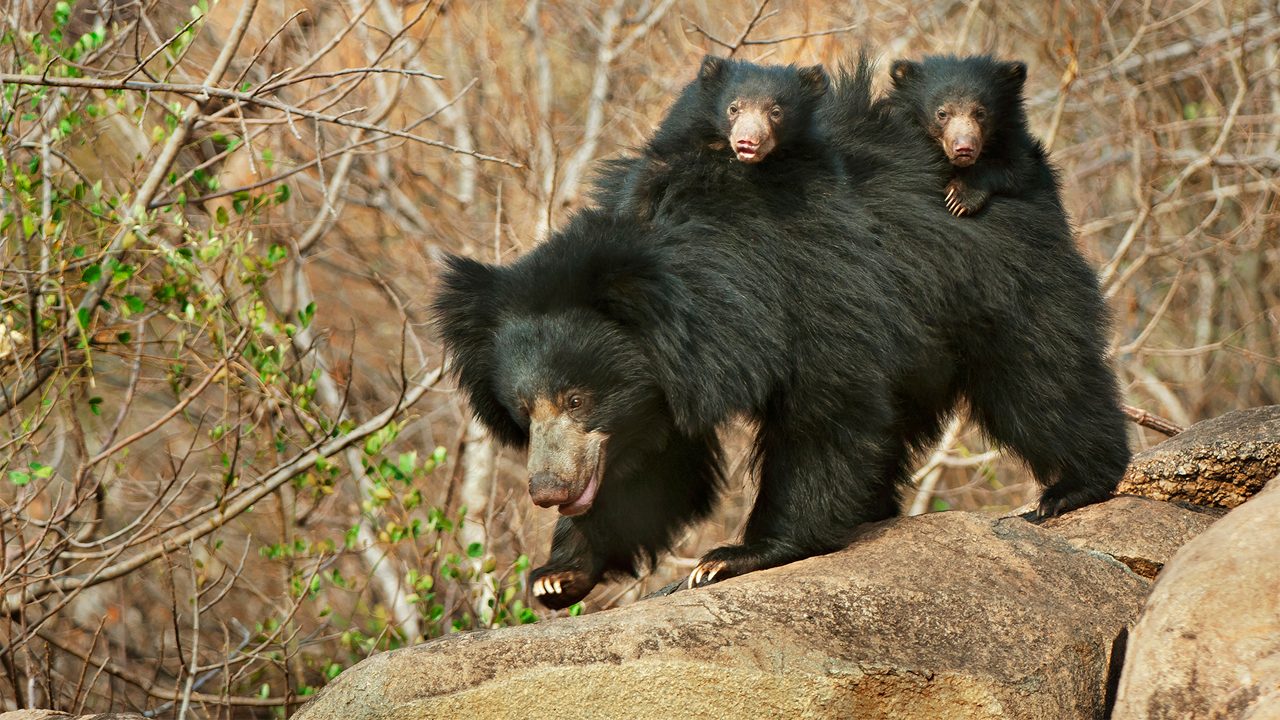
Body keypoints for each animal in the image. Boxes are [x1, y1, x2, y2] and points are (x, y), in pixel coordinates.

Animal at [432, 57, 1131, 604]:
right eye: (523, 410)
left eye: (578, 399)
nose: (549, 491)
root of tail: (1028, 164)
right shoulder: (656, 388)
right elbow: (653, 467)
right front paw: (559, 575)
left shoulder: (811, 295)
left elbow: (824, 414)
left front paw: (732, 557)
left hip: (998, 280)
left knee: (1039, 376)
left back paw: (1071, 488)